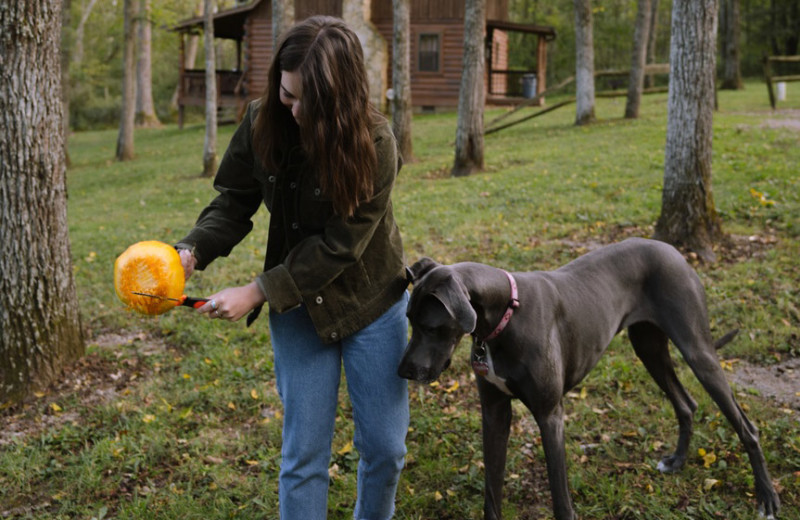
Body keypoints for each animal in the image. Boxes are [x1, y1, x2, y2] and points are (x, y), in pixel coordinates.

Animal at [400, 239, 780, 520]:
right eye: (408, 319)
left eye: (430, 327)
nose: (403, 372)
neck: (506, 314)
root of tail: (672, 249)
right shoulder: (494, 412)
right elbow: (492, 490)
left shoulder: (550, 415)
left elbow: (560, 496)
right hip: (649, 348)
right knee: (686, 403)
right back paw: (676, 461)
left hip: (698, 351)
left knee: (747, 427)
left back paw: (767, 498)